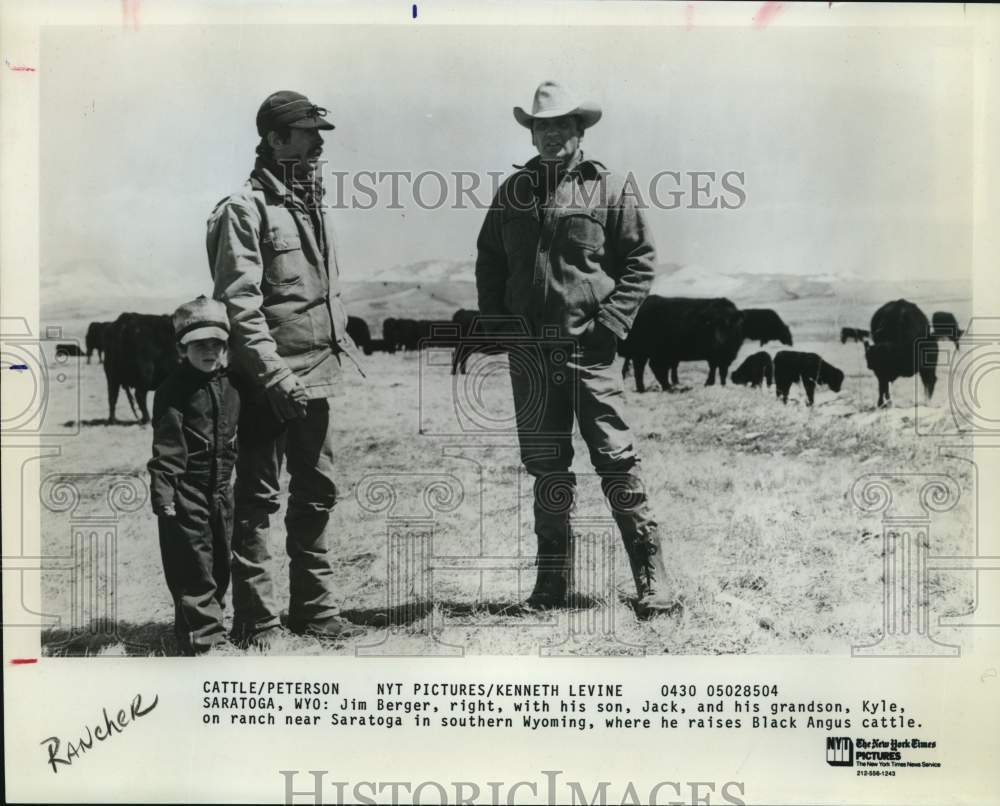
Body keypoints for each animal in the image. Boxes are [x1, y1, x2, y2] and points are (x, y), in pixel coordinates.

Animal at [620, 300, 748, 394]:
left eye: (729, 324)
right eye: (711, 324)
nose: (719, 341)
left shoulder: (727, 356)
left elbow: (722, 372)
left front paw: (722, 385)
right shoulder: (713, 356)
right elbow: (713, 369)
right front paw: (709, 383)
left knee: (655, 368)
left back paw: (665, 387)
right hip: (643, 352)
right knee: (642, 369)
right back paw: (647, 389)